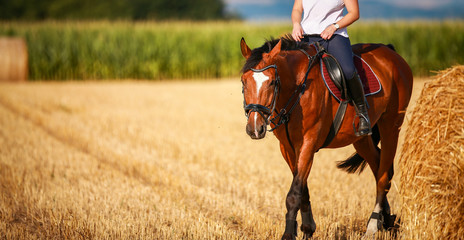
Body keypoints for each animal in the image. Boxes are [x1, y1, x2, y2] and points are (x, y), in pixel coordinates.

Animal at [239, 34, 414, 239]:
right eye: (244, 82)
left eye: (272, 82)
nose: (255, 128)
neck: (298, 88)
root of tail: (390, 52)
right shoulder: (287, 148)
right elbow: (302, 188)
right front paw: (308, 228)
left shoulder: (308, 143)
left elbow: (294, 193)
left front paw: (289, 234)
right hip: (361, 139)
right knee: (379, 165)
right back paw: (385, 220)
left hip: (391, 126)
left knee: (384, 175)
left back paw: (372, 227)